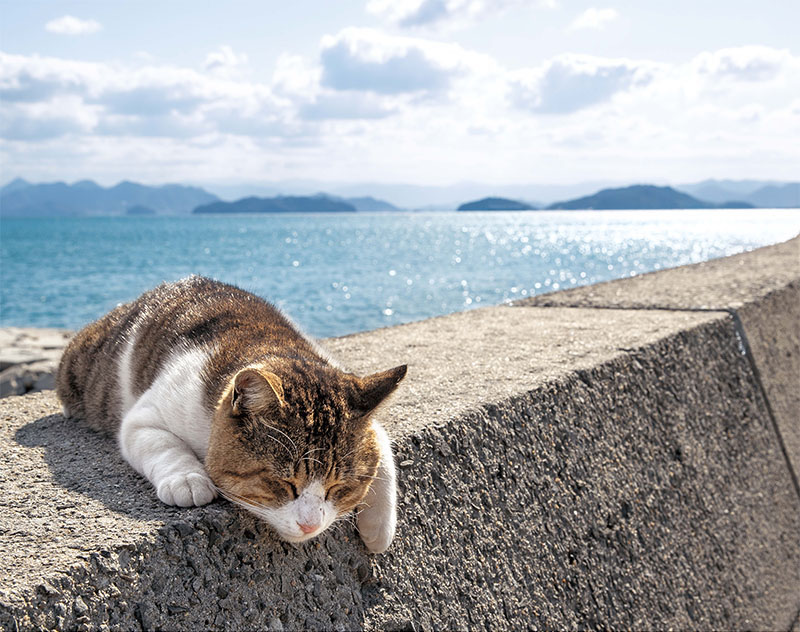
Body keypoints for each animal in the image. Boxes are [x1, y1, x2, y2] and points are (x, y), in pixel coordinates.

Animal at [57, 274, 406, 552]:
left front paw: (380, 528)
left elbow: (383, 448)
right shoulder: (144, 417)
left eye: (338, 488)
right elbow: (162, 444)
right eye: (284, 484)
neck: (271, 347)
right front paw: (188, 479)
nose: (311, 525)